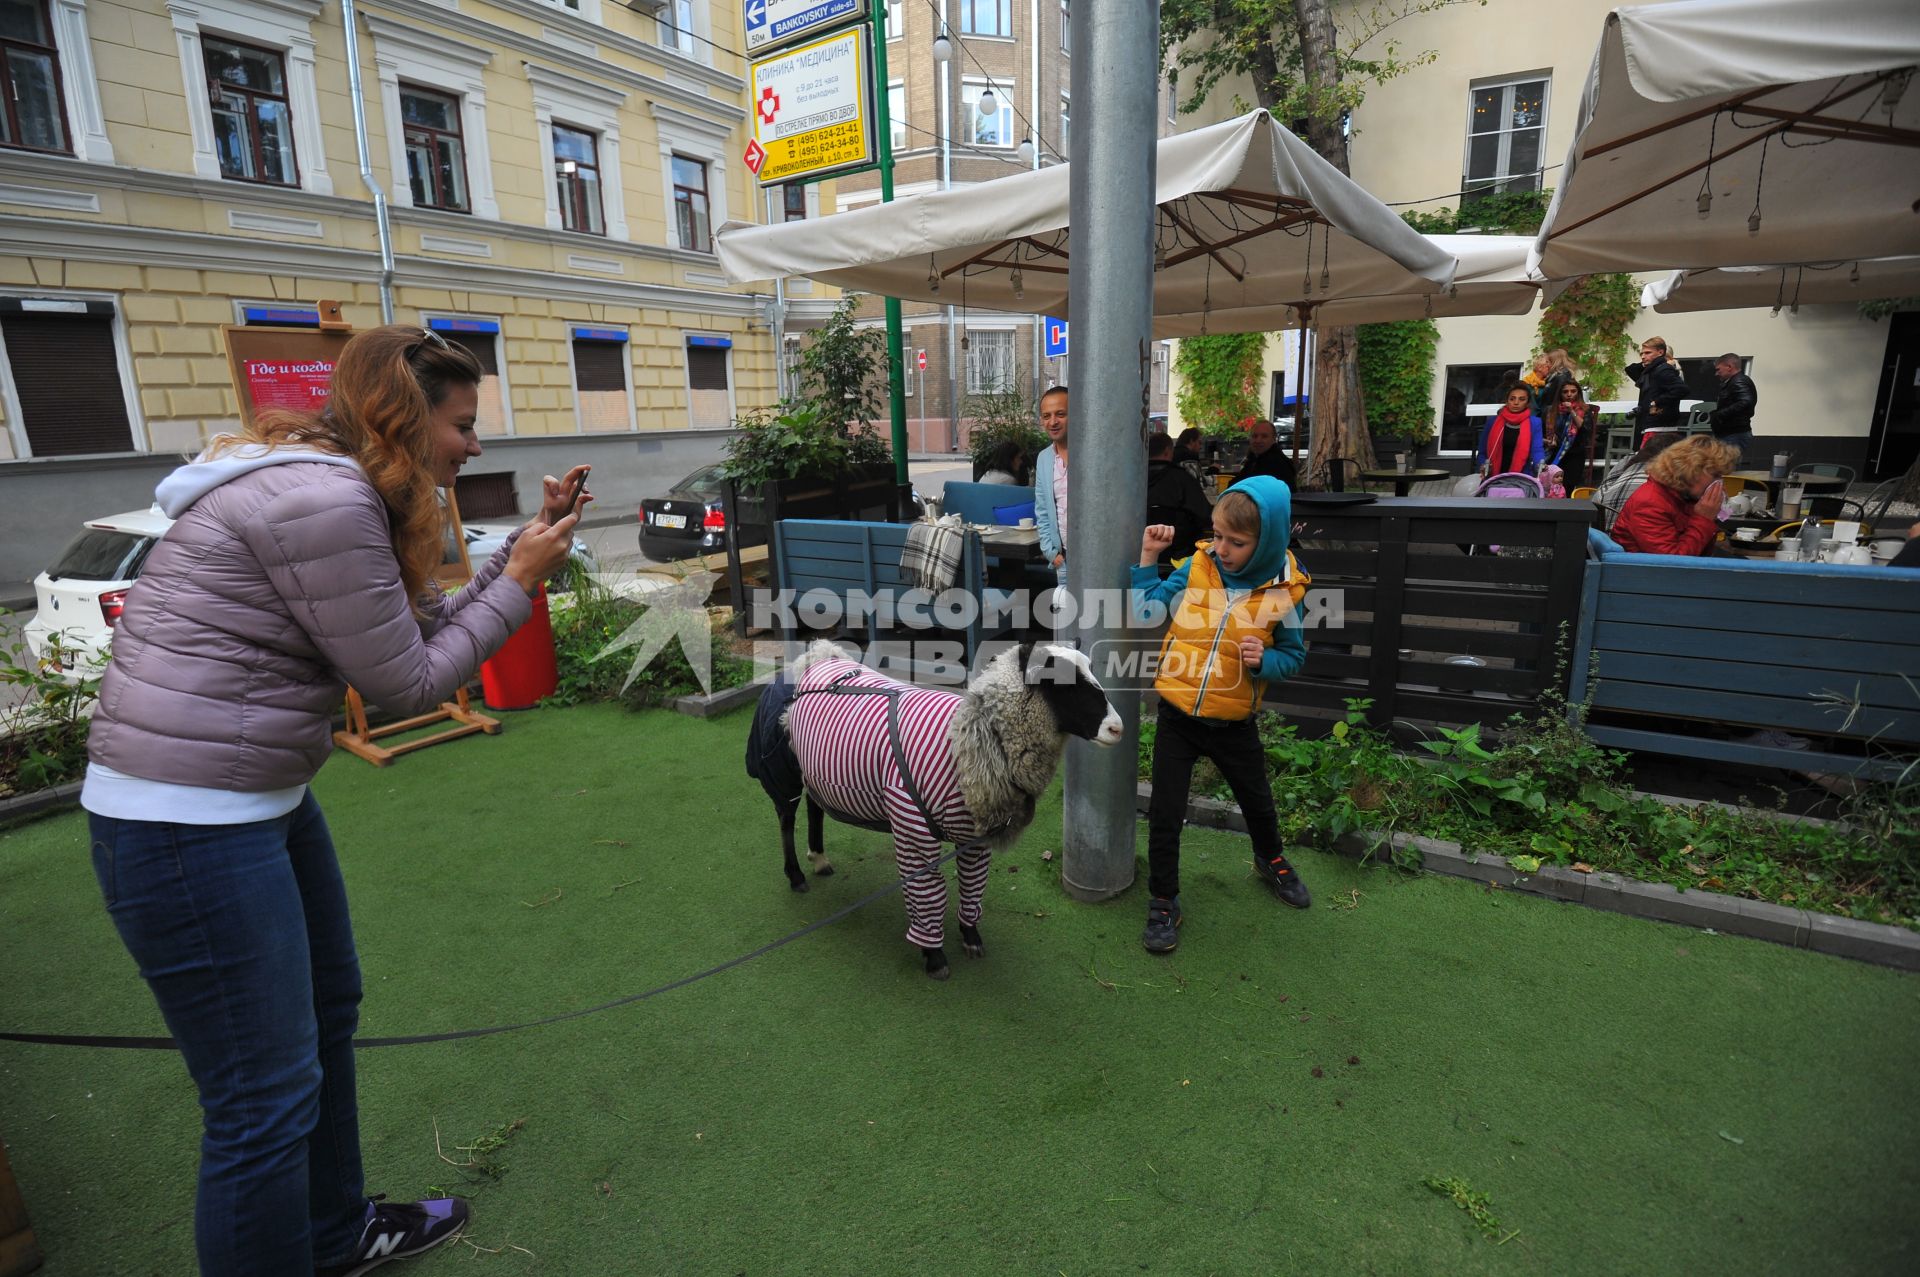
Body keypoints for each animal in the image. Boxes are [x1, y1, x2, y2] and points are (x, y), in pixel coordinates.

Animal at [737, 637, 1121, 975]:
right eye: (1060, 682)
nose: (1117, 728)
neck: (966, 740)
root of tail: (813, 658)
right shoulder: (911, 825)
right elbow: (929, 893)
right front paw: (934, 957)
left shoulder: (974, 834)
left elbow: (973, 886)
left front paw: (971, 937)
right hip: (781, 768)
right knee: (786, 818)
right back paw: (796, 875)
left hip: (813, 770)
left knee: (814, 807)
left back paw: (819, 859)